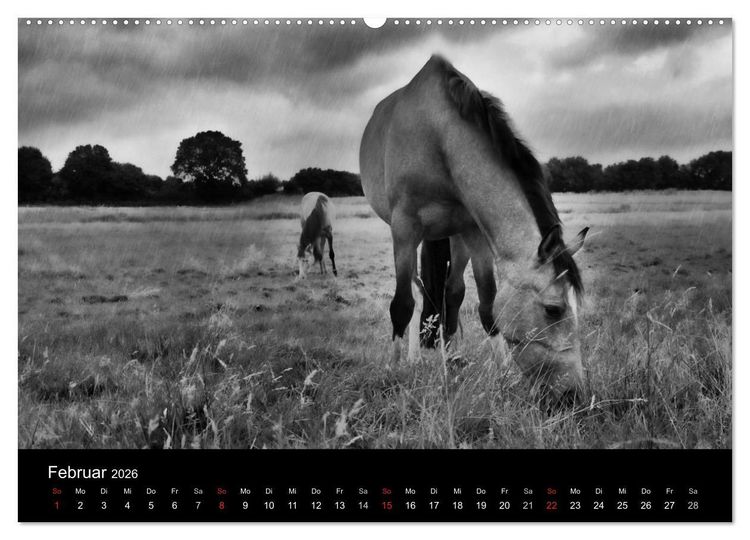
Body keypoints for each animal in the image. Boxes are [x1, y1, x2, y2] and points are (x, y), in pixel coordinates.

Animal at [359, 55, 589, 405]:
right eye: (553, 309)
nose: (572, 394)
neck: (438, 137)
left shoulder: (474, 233)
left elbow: (487, 306)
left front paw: (504, 377)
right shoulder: (404, 229)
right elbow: (402, 305)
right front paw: (393, 374)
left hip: (456, 237)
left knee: (451, 293)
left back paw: (452, 358)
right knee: (417, 292)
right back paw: (414, 359)